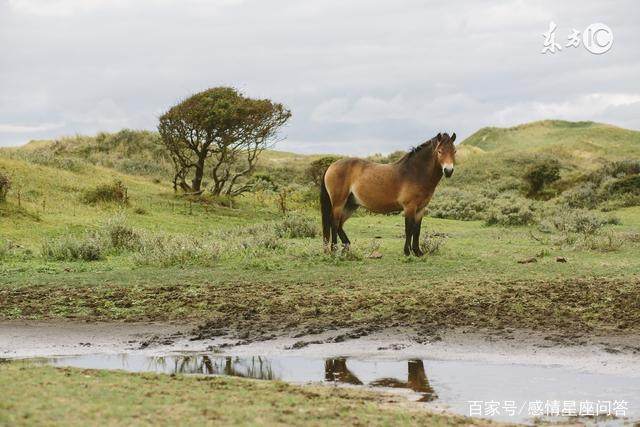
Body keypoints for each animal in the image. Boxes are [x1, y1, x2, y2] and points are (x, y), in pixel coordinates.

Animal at [320, 132, 456, 256]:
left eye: (454, 151)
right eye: (439, 151)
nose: (448, 171)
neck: (415, 173)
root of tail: (331, 166)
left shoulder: (420, 209)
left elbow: (417, 230)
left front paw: (418, 252)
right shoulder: (409, 207)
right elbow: (409, 229)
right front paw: (407, 252)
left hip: (351, 205)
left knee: (339, 225)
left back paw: (346, 247)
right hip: (339, 203)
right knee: (334, 223)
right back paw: (334, 250)